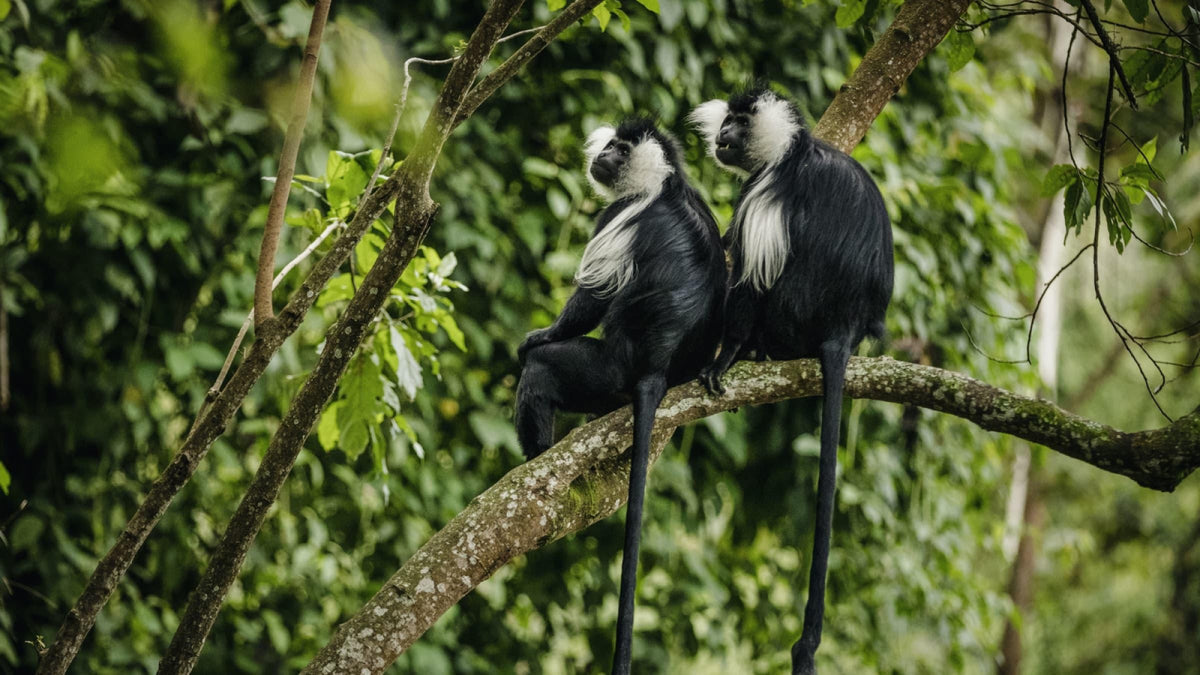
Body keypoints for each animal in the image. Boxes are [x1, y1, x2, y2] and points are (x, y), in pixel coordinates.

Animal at [514, 118, 726, 675]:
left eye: (620, 149)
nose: (604, 154)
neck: (664, 183)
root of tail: (654, 368)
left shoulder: (619, 216)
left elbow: (591, 299)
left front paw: (539, 336)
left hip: (603, 371)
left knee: (543, 373)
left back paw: (536, 456)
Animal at [689, 86, 893, 675]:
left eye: (738, 123)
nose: (721, 136)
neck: (790, 150)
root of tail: (844, 326)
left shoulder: (765, 193)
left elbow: (749, 280)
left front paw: (724, 358)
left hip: (792, 313)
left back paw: (753, 350)